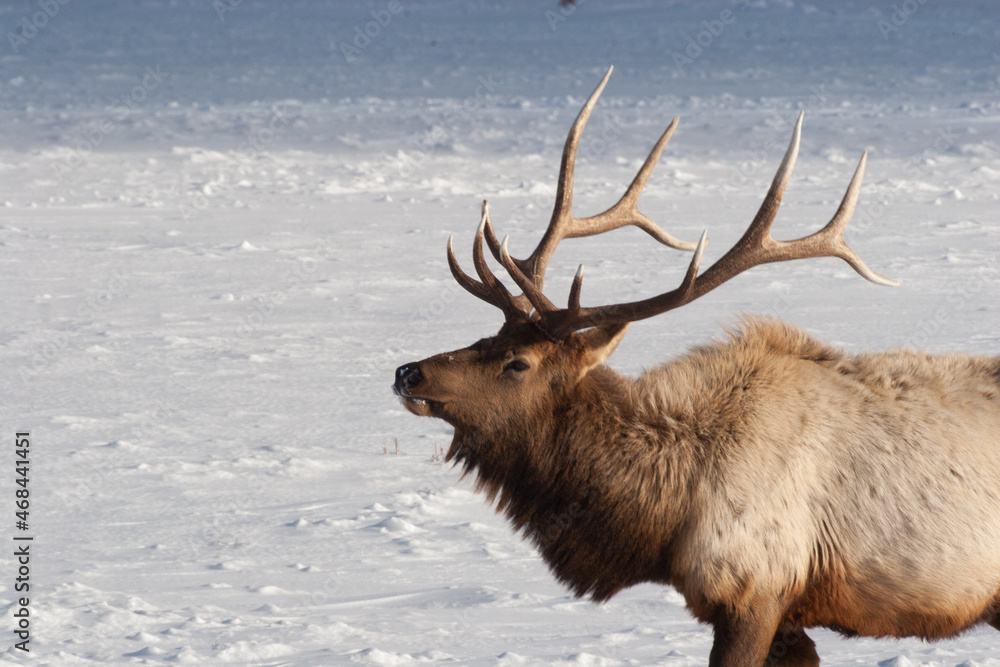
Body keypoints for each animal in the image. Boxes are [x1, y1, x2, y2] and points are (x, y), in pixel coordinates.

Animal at [392, 67, 1000, 667]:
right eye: (489, 335)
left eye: (517, 362)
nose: (407, 373)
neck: (667, 513)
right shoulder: (781, 615)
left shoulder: (755, 590)